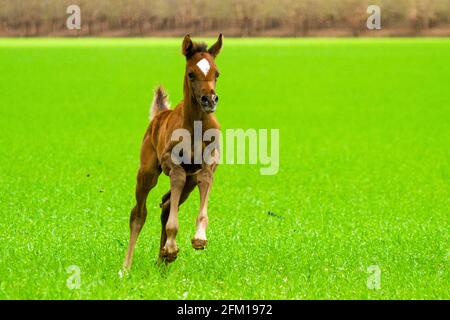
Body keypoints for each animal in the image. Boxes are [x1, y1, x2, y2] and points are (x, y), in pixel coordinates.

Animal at [123, 34, 223, 270]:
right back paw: (127, 267)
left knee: (166, 205)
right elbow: (176, 178)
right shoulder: (172, 162)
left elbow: (205, 179)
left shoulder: (209, 162)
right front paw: (171, 244)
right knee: (139, 213)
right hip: (147, 172)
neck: (196, 125)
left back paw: (163, 260)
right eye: (191, 73)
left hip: (189, 183)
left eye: (216, 73)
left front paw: (199, 238)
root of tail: (159, 115)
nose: (209, 100)